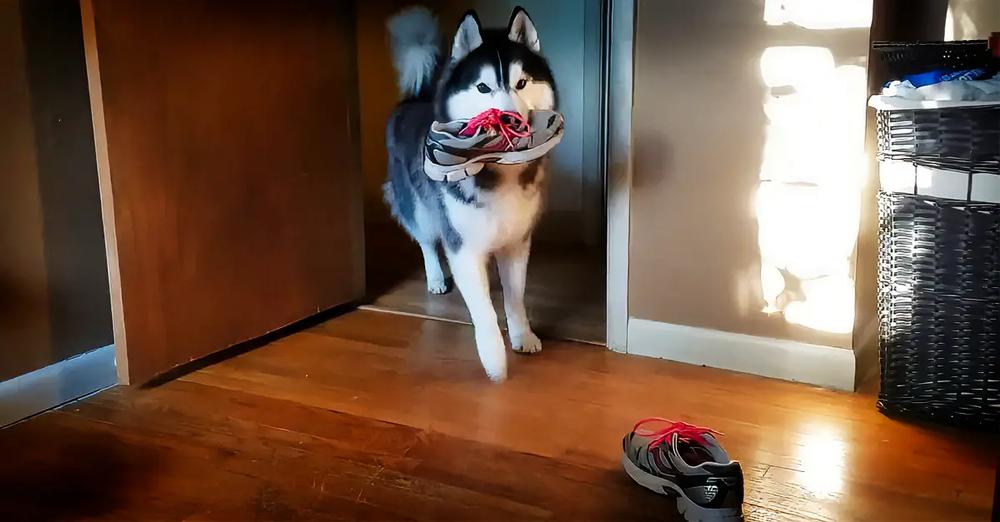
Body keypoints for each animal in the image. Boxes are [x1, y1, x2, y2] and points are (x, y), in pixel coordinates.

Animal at [382, 6, 560, 380]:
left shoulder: (517, 242)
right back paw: (436, 276)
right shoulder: (463, 248)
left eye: (521, 83)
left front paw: (523, 335)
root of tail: (416, 96)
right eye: (483, 87)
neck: (501, 172)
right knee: (426, 240)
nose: (512, 120)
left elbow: (515, 297)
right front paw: (494, 360)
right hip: (419, 208)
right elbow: (484, 312)